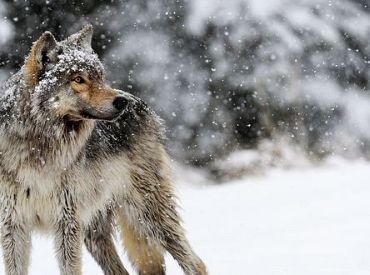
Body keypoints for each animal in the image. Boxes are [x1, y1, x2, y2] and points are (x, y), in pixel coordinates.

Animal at [0, 24, 208, 275]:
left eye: (101, 77)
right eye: (79, 79)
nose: (121, 102)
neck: (39, 148)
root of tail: (141, 103)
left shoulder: (66, 222)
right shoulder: (13, 225)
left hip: (149, 216)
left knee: (196, 263)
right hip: (94, 232)